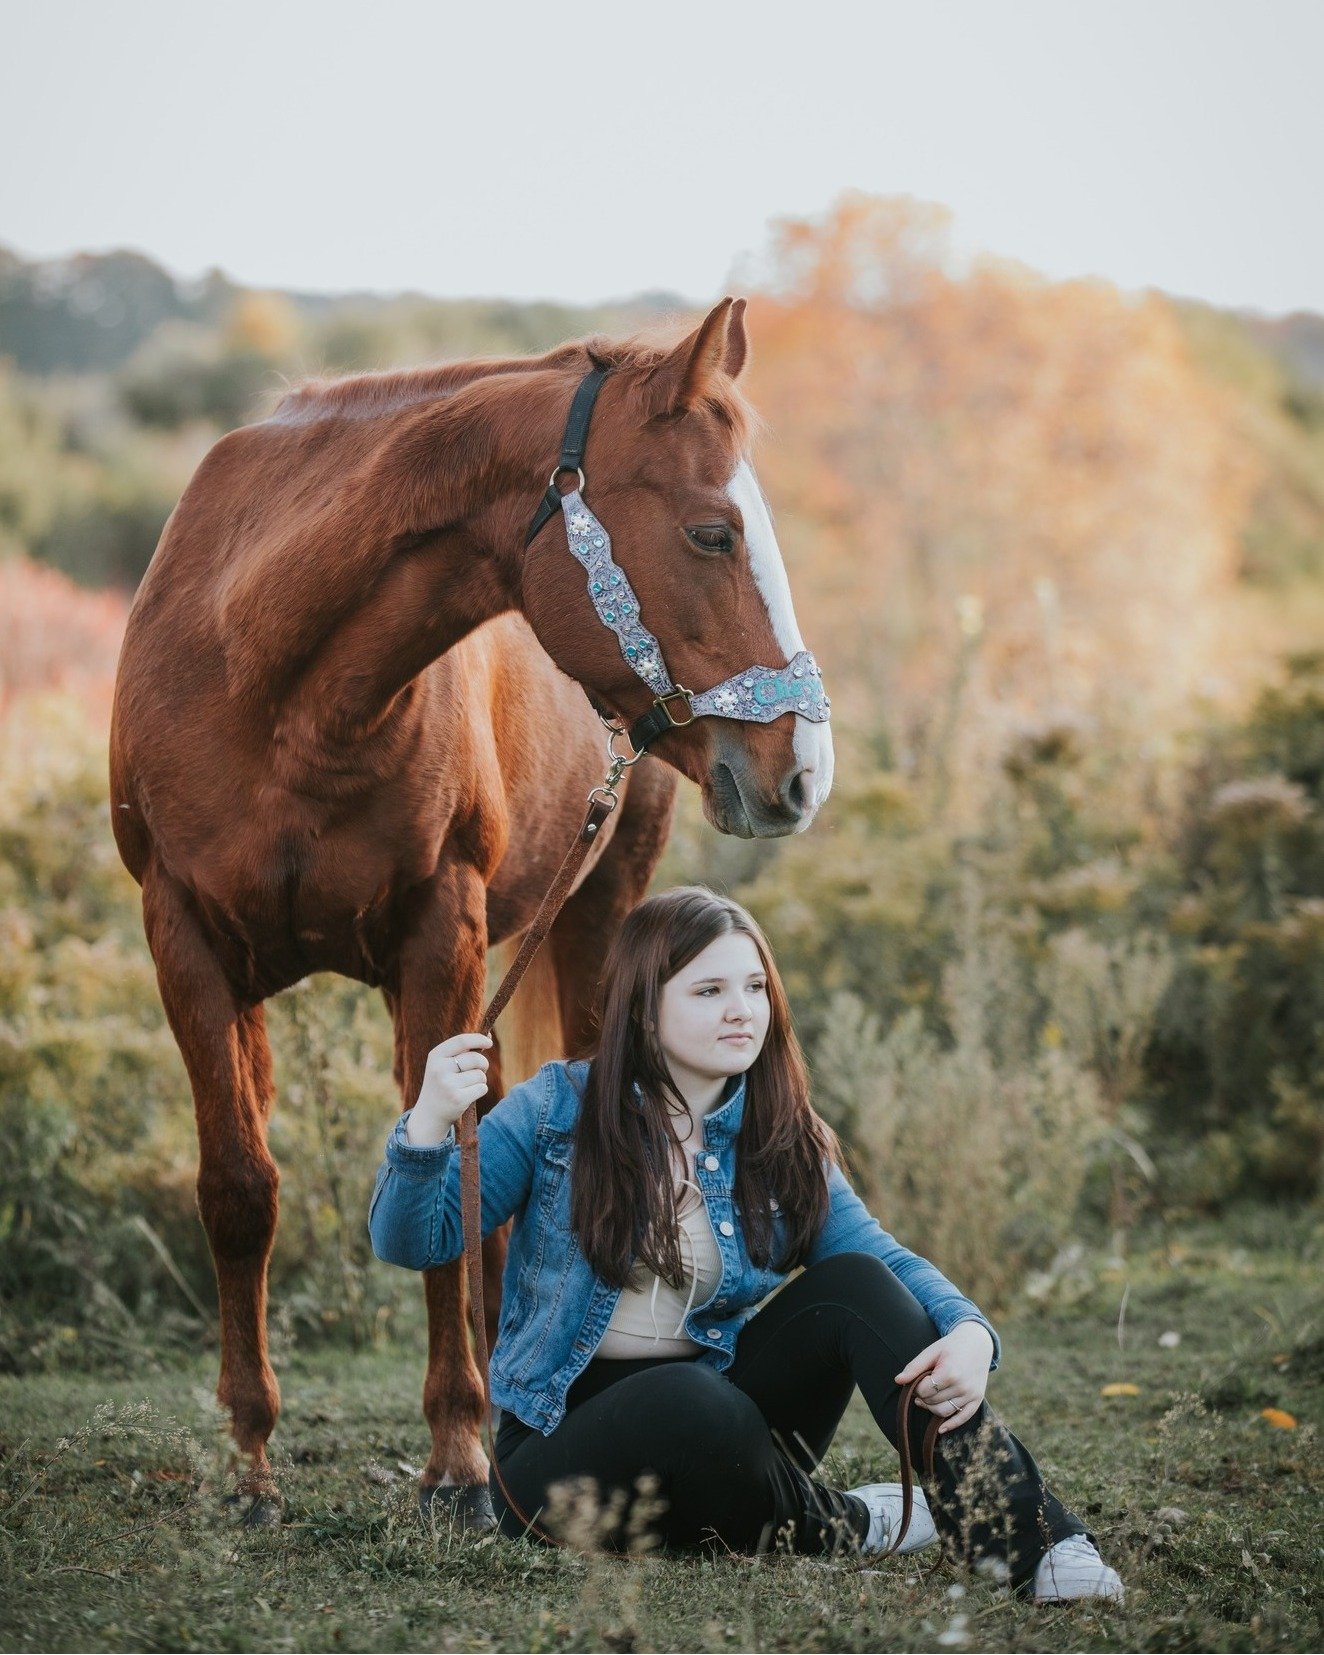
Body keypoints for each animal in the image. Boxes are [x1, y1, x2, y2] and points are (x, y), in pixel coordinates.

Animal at [110, 294, 837, 1522]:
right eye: (711, 533)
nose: (802, 773)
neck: (268, 681)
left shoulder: (436, 932)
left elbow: (453, 1165)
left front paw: (456, 1457)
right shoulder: (188, 940)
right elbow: (240, 1188)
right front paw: (251, 1458)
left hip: (590, 920)